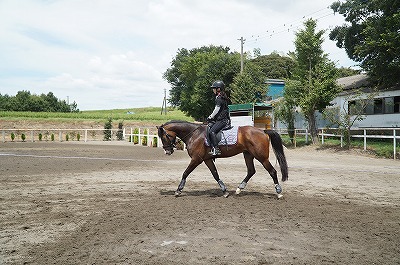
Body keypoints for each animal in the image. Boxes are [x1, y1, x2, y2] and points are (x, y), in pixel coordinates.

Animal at [157, 120, 288, 197]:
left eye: (164, 137)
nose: (167, 151)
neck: (194, 134)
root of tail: (263, 131)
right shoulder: (207, 159)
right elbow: (215, 174)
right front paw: (224, 190)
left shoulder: (196, 159)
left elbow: (185, 173)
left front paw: (178, 190)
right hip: (248, 154)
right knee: (251, 171)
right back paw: (239, 189)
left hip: (261, 157)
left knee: (272, 171)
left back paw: (278, 192)